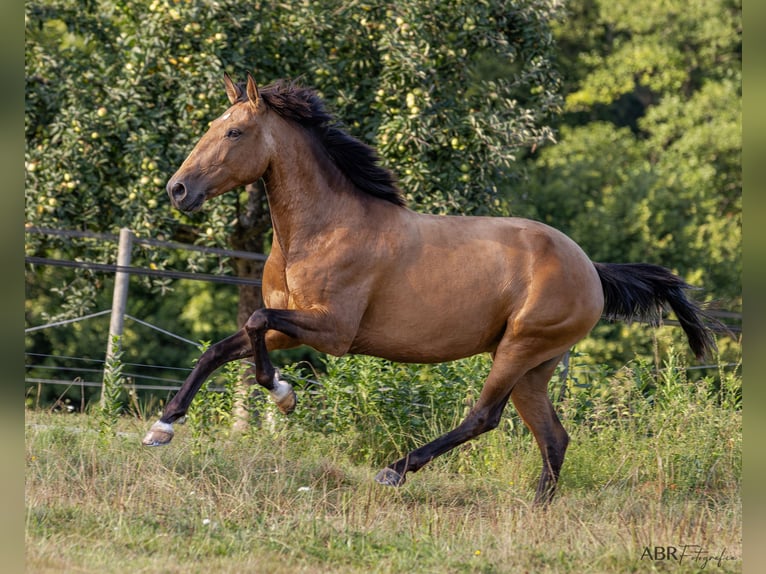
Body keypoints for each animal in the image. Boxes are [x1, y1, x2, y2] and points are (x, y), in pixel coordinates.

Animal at [142, 73, 715, 504]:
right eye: (213, 126)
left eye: (235, 133)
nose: (178, 189)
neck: (323, 228)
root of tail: (591, 268)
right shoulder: (295, 325)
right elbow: (223, 346)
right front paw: (162, 427)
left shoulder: (333, 331)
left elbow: (255, 325)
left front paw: (283, 395)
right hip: (535, 367)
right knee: (554, 436)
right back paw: (538, 509)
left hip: (520, 348)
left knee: (484, 417)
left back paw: (395, 470)